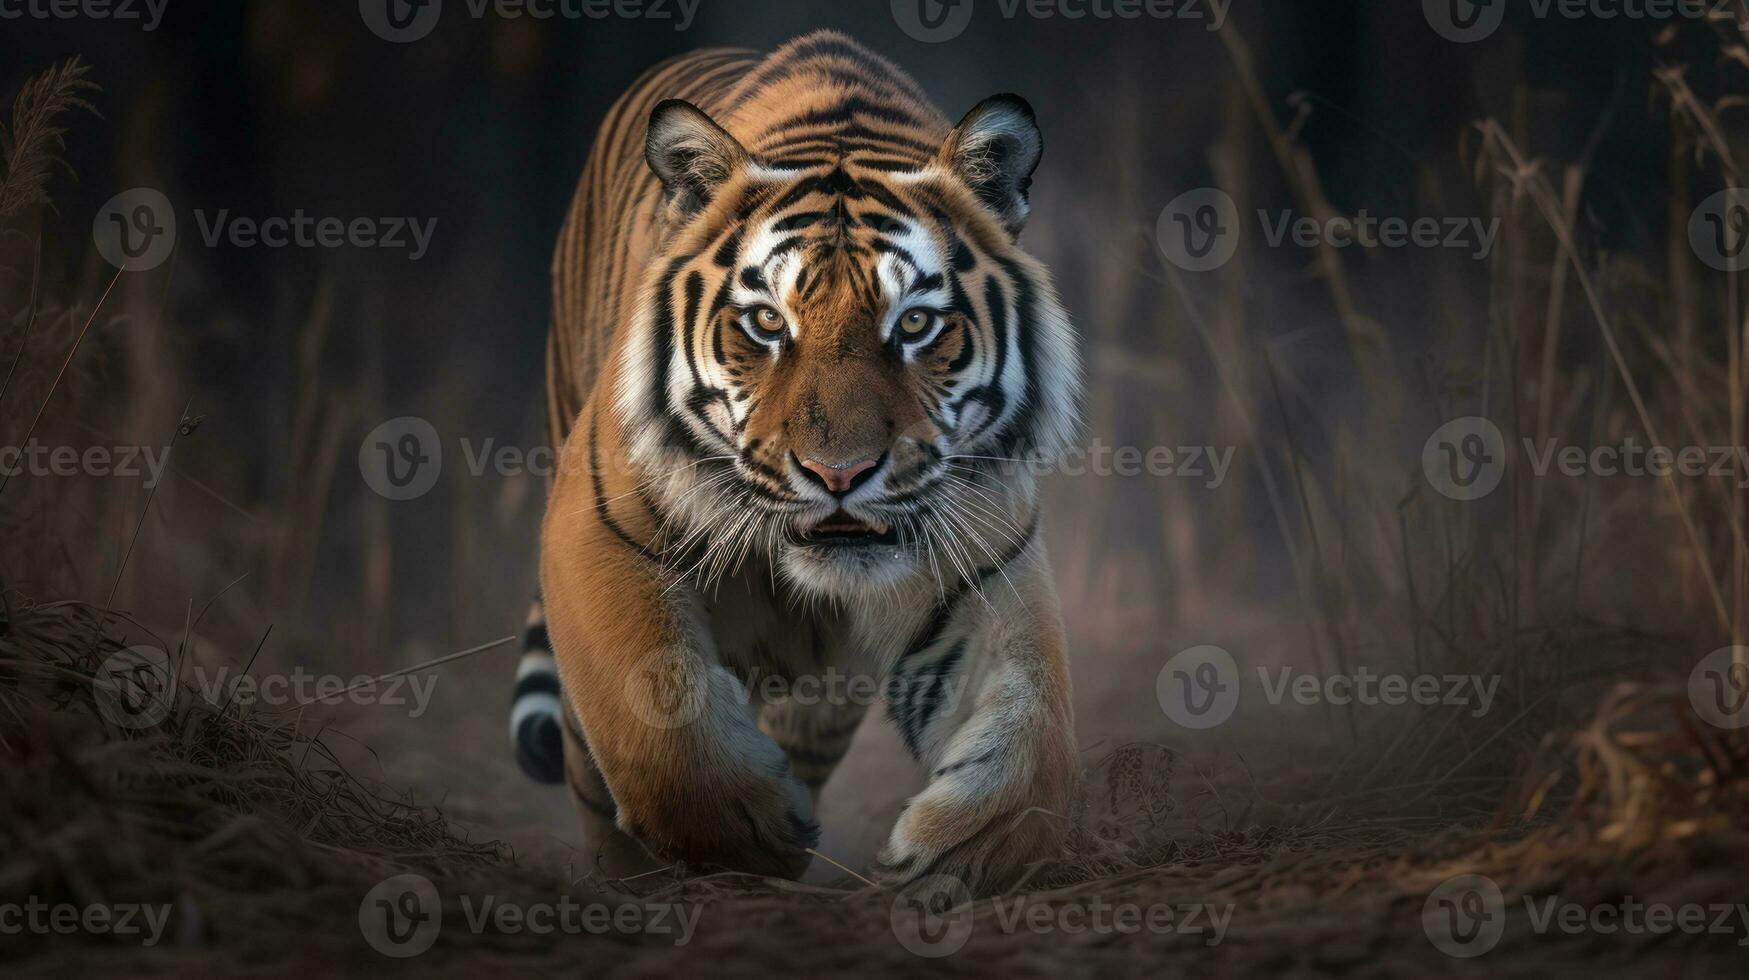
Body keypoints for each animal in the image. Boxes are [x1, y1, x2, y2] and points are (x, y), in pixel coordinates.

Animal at [507, 28, 1077, 896]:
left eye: (915, 324)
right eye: (767, 323)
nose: (839, 475)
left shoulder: (984, 562)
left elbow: (1030, 724)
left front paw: (964, 852)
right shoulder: (597, 531)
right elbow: (655, 720)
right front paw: (744, 837)